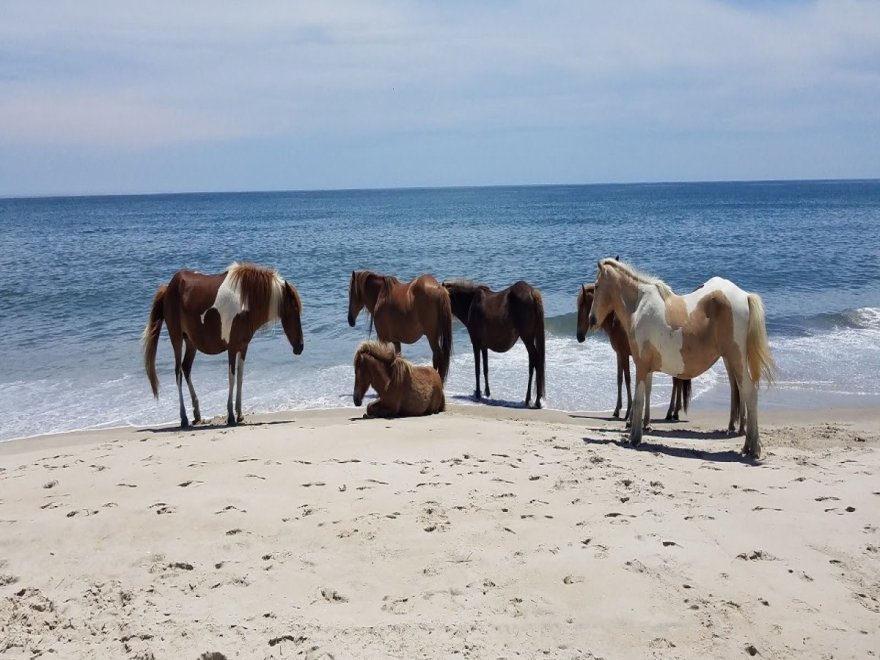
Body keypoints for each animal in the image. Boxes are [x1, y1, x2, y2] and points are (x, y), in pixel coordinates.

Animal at [144, 262, 306, 428]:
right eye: (294, 311)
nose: (300, 346)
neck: (245, 302)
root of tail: (168, 288)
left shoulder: (243, 347)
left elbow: (240, 377)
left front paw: (239, 413)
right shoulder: (232, 348)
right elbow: (232, 378)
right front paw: (231, 416)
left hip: (190, 342)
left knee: (186, 368)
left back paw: (197, 413)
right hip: (176, 338)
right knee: (178, 373)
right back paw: (183, 418)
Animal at [444, 278, 548, 408]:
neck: (471, 302)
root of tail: (532, 291)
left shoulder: (475, 343)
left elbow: (477, 369)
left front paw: (478, 394)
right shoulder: (484, 346)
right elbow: (485, 369)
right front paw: (487, 393)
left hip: (527, 338)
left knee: (535, 360)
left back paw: (535, 399)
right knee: (533, 362)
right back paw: (531, 399)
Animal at [588, 258, 772, 458]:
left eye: (596, 286)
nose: (591, 319)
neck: (639, 305)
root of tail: (745, 296)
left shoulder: (641, 366)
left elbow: (638, 400)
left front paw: (634, 438)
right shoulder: (648, 368)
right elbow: (645, 396)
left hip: (736, 359)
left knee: (749, 393)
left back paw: (753, 448)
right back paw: (747, 446)